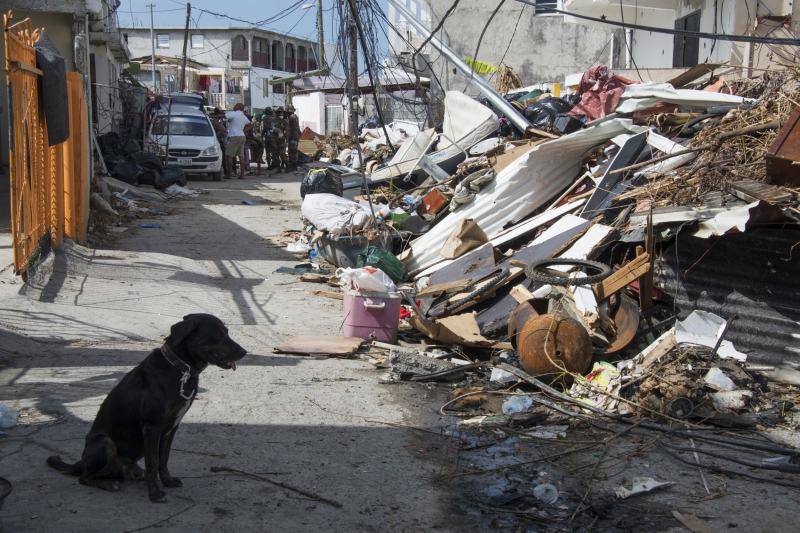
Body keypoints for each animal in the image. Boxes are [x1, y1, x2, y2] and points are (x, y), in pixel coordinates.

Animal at [47, 314, 245, 500]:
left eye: (227, 332)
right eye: (218, 335)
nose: (244, 352)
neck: (180, 368)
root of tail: (81, 460)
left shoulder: (171, 428)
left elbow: (162, 459)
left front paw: (167, 481)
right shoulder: (151, 427)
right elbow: (152, 464)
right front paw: (155, 494)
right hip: (104, 442)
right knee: (84, 477)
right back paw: (109, 484)